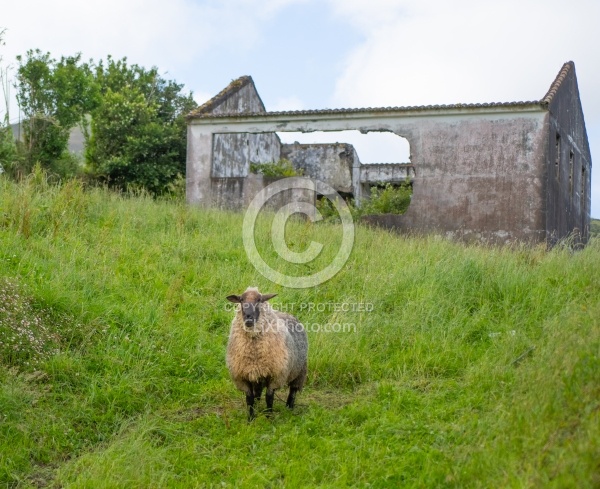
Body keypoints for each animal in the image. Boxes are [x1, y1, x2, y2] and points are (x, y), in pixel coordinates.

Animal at [225, 286, 310, 420]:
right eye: (241, 300)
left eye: (259, 300)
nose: (248, 318)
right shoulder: (243, 376)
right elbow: (249, 399)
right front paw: (250, 418)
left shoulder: (275, 375)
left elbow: (269, 398)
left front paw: (269, 417)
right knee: (258, 394)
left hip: (300, 371)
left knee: (293, 391)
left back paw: (289, 408)